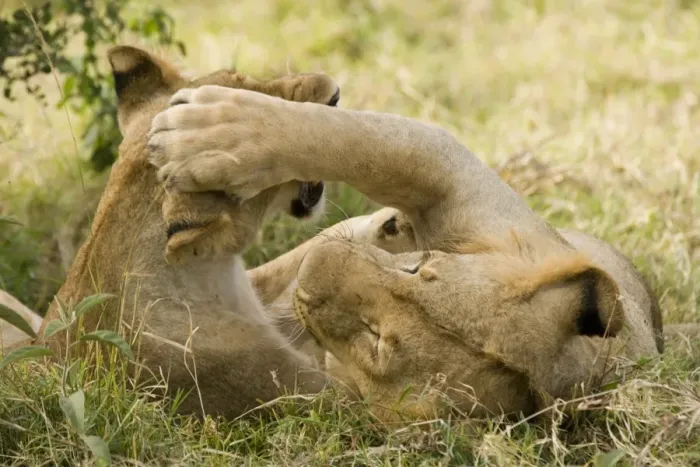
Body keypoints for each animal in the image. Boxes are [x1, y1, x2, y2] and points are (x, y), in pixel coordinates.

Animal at [146, 83, 669, 420]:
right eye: (420, 268)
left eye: (376, 341)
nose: (318, 266)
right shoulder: (466, 189)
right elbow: (366, 142)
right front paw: (206, 131)